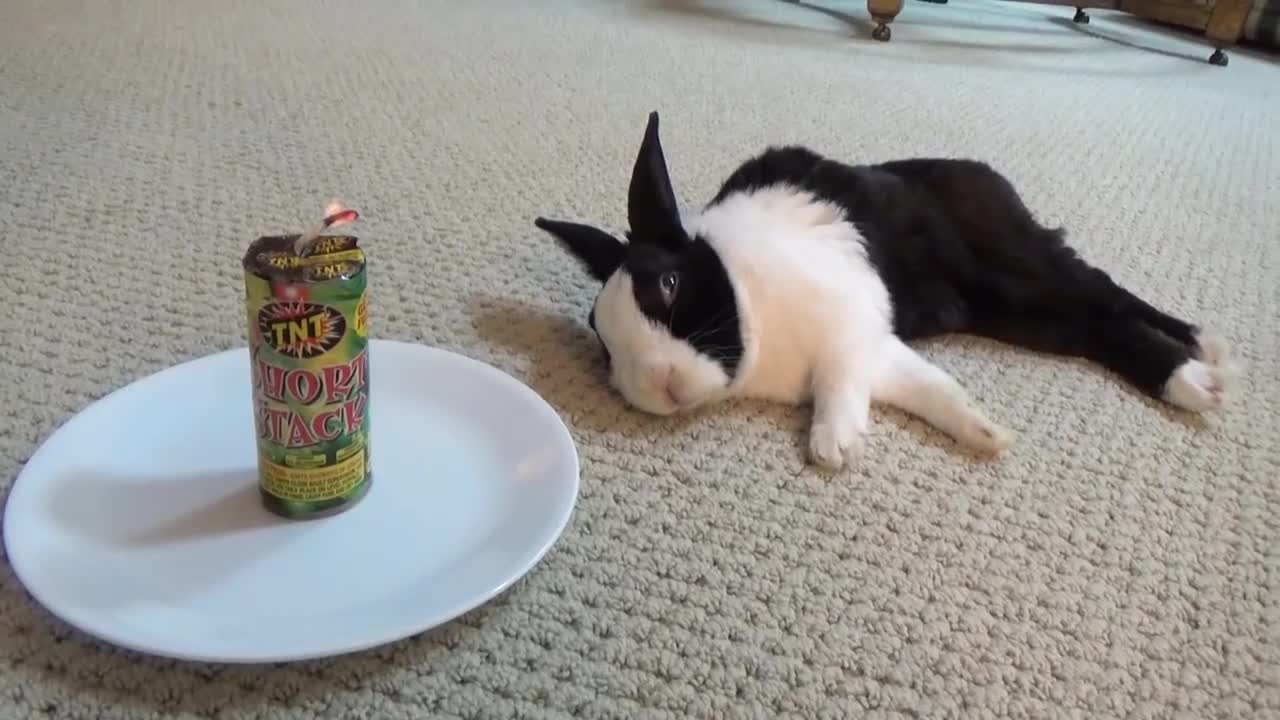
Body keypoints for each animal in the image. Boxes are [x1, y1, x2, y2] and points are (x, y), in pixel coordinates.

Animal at [529, 110, 1228, 471]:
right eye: (603, 342)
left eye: (670, 285)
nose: (660, 387)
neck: (752, 307)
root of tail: (989, 179)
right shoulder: (879, 349)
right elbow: (930, 390)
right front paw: (987, 435)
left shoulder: (850, 322)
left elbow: (840, 381)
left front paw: (833, 445)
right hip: (1020, 314)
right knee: (1092, 323)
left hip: (1016, 271)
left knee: (1105, 301)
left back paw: (1200, 372)